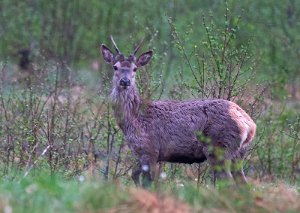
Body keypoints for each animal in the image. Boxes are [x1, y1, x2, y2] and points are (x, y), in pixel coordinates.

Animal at [99, 37, 256, 188]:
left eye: (135, 68)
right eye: (115, 67)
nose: (125, 81)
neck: (133, 120)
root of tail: (250, 125)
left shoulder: (150, 149)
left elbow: (147, 182)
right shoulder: (142, 153)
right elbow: (134, 175)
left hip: (219, 148)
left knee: (229, 184)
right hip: (239, 153)